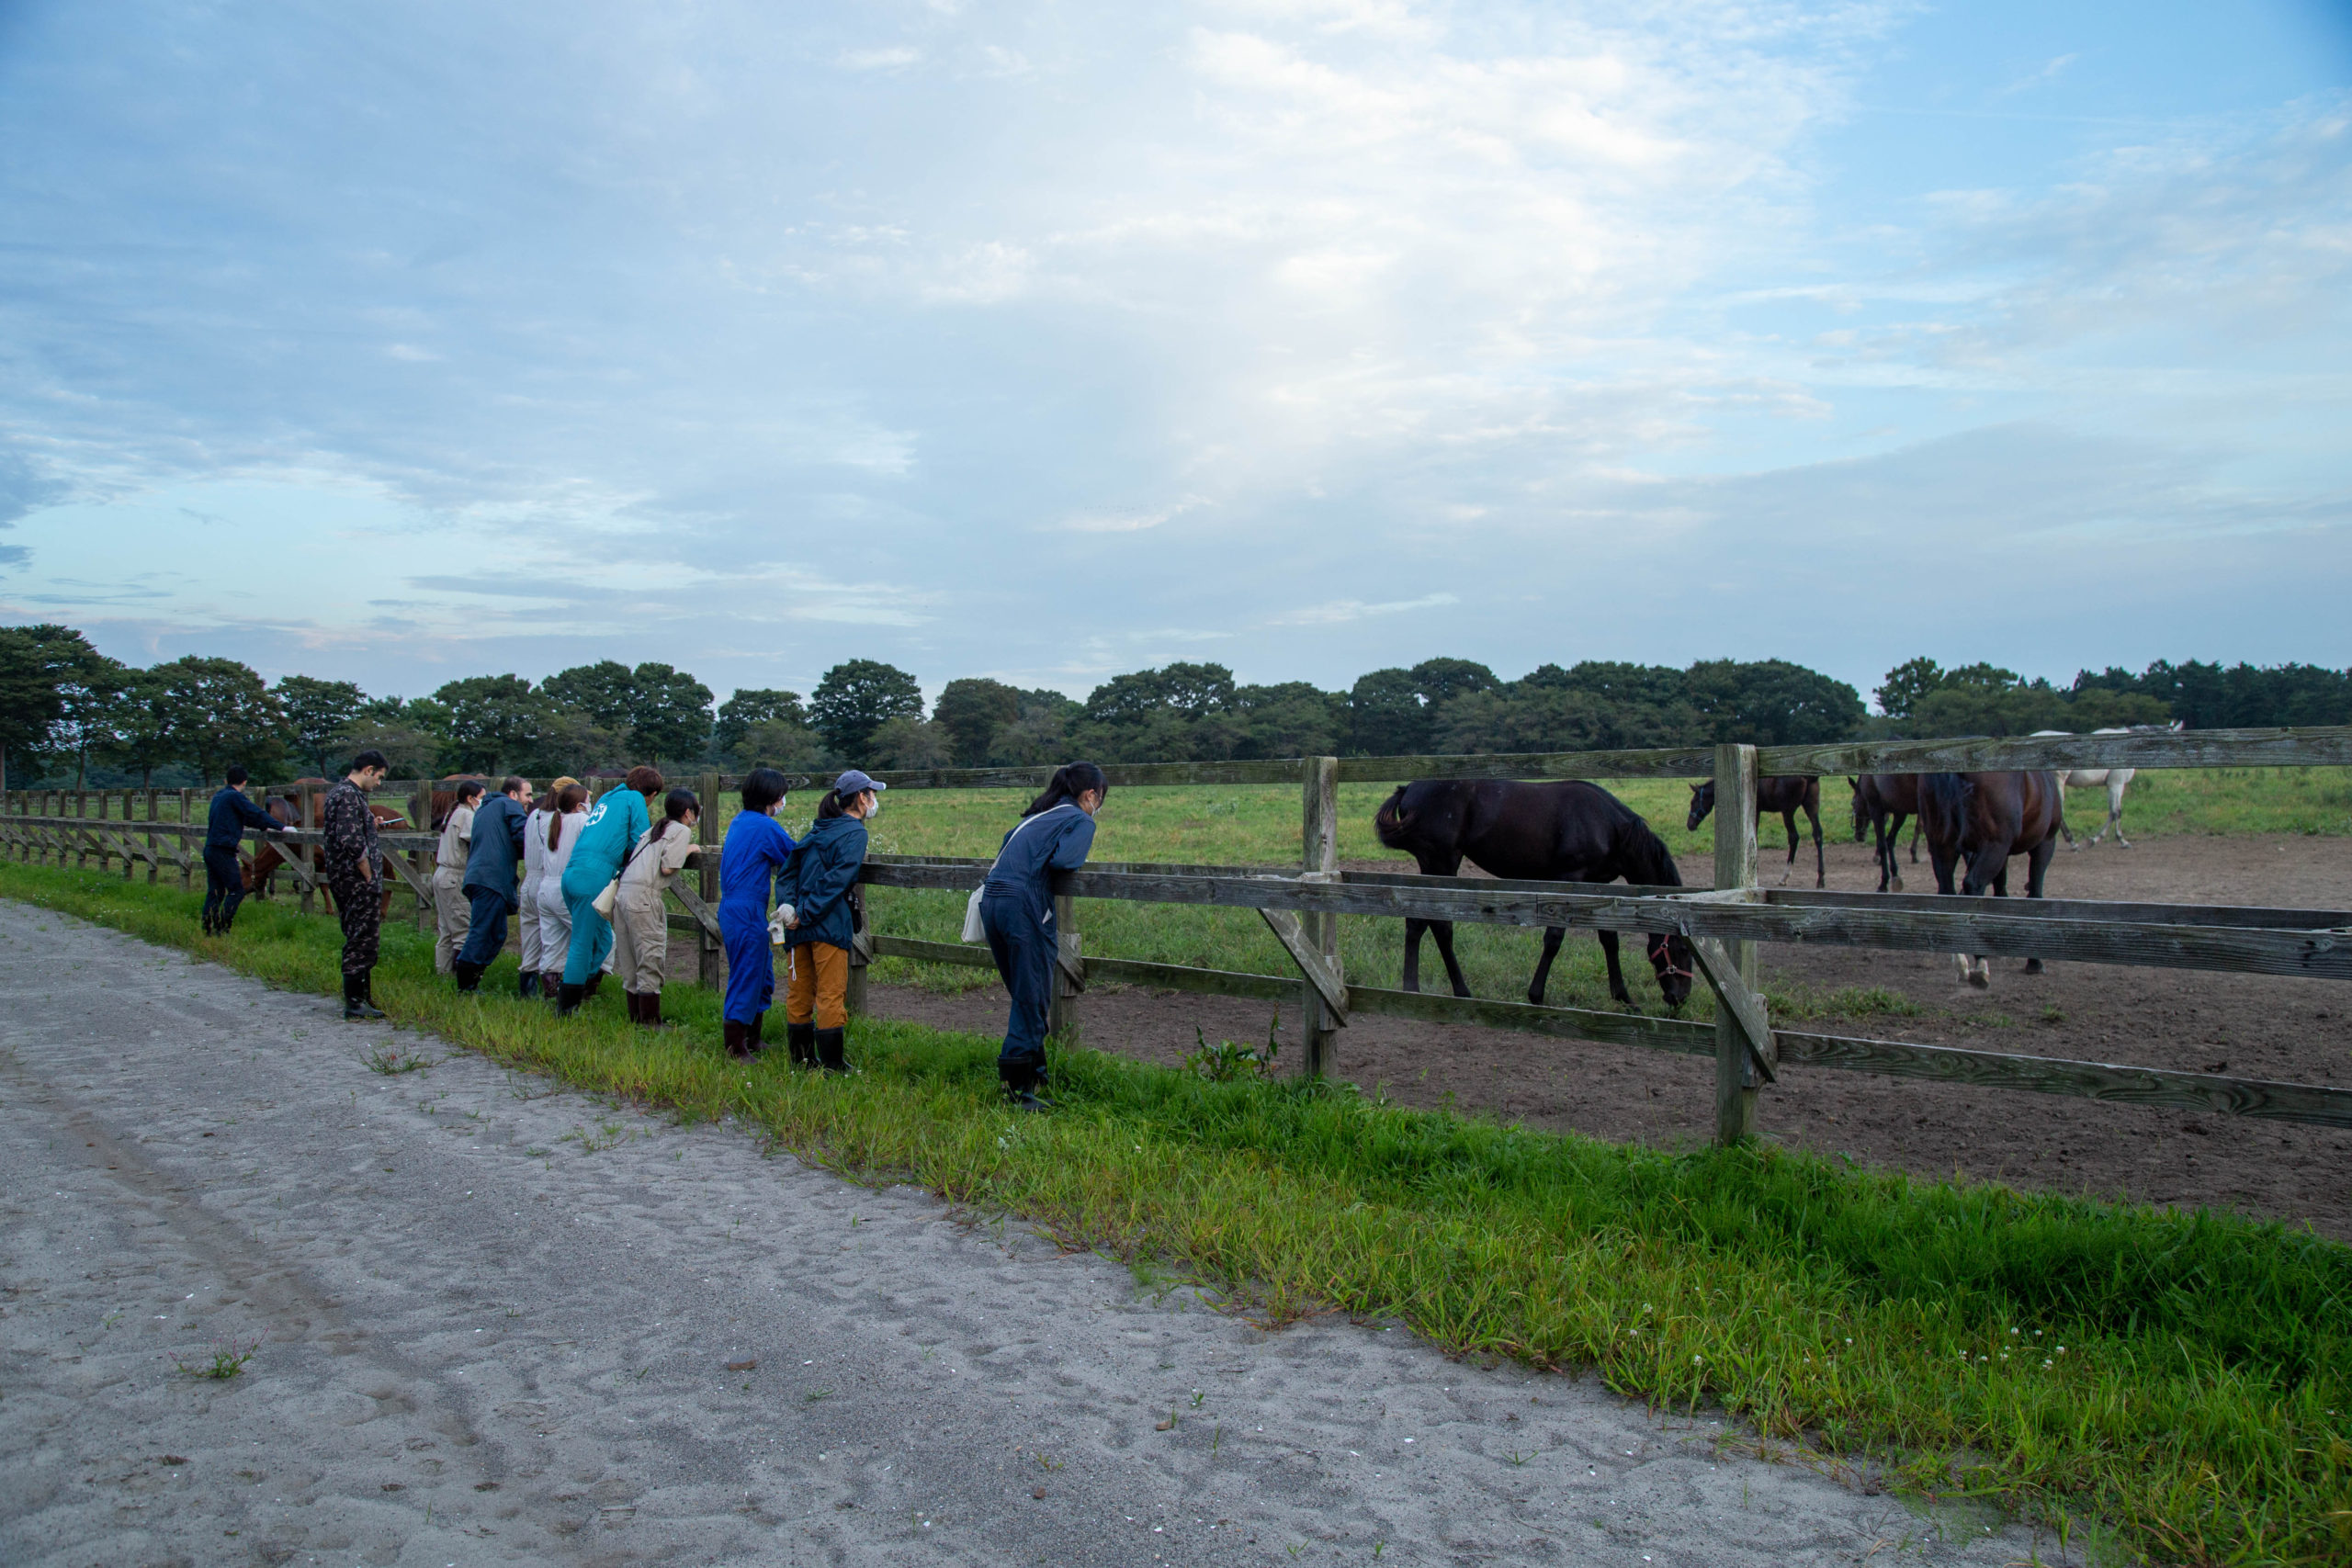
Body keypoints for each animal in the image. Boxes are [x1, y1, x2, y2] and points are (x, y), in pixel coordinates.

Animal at [1374, 780, 1702, 1010]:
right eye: (1682, 950)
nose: (1680, 998)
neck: (1607, 825)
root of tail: (1409, 789)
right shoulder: (1569, 878)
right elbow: (1554, 938)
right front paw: (1536, 995)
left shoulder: (1598, 884)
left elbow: (1609, 938)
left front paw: (1624, 997)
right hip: (1441, 863)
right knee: (1438, 924)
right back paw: (1459, 991)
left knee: (1417, 921)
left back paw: (1413, 987)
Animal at [1683, 780, 1825, 888]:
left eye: (1693, 802)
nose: (1690, 825)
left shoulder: (1755, 809)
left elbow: (1753, 835)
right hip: (1811, 805)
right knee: (1817, 835)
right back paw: (1820, 879)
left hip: (1788, 811)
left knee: (1794, 837)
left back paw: (1785, 876)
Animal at [1918, 766, 2069, 987]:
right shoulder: (2044, 845)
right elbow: (2034, 894)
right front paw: (2034, 962)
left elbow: (2000, 891)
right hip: (1995, 846)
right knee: (1973, 886)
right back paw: (1980, 965)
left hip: (1942, 847)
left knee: (1948, 893)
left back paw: (1961, 962)